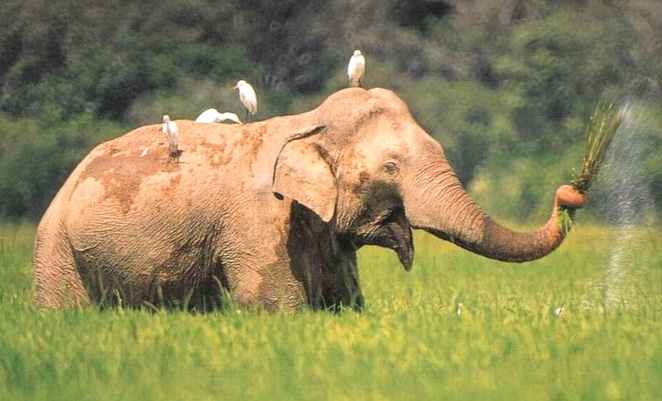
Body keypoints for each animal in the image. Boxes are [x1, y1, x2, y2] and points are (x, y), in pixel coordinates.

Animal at [33, 89, 588, 310]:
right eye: (390, 168)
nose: (570, 193)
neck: (308, 122)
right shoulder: (260, 225)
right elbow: (276, 308)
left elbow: (345, 304)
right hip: (54, 247)